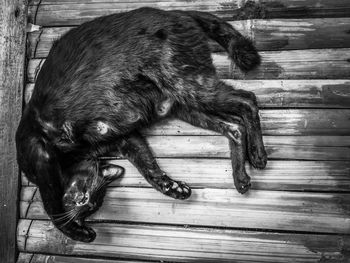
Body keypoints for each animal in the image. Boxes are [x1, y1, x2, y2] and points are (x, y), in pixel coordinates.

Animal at [16, 7, 266, 243]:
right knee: (234, 126)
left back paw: (258, 155)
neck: (75, 157)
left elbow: (51, 205)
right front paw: (172, 187)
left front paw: (77, 232)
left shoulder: (41, 156)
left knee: (248, 99)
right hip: (186, 105)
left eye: (90, 201)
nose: (83, 204)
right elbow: (148, 168)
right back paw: (241, 178)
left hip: (190, 85)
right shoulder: (124, 139)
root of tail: (176, 12)